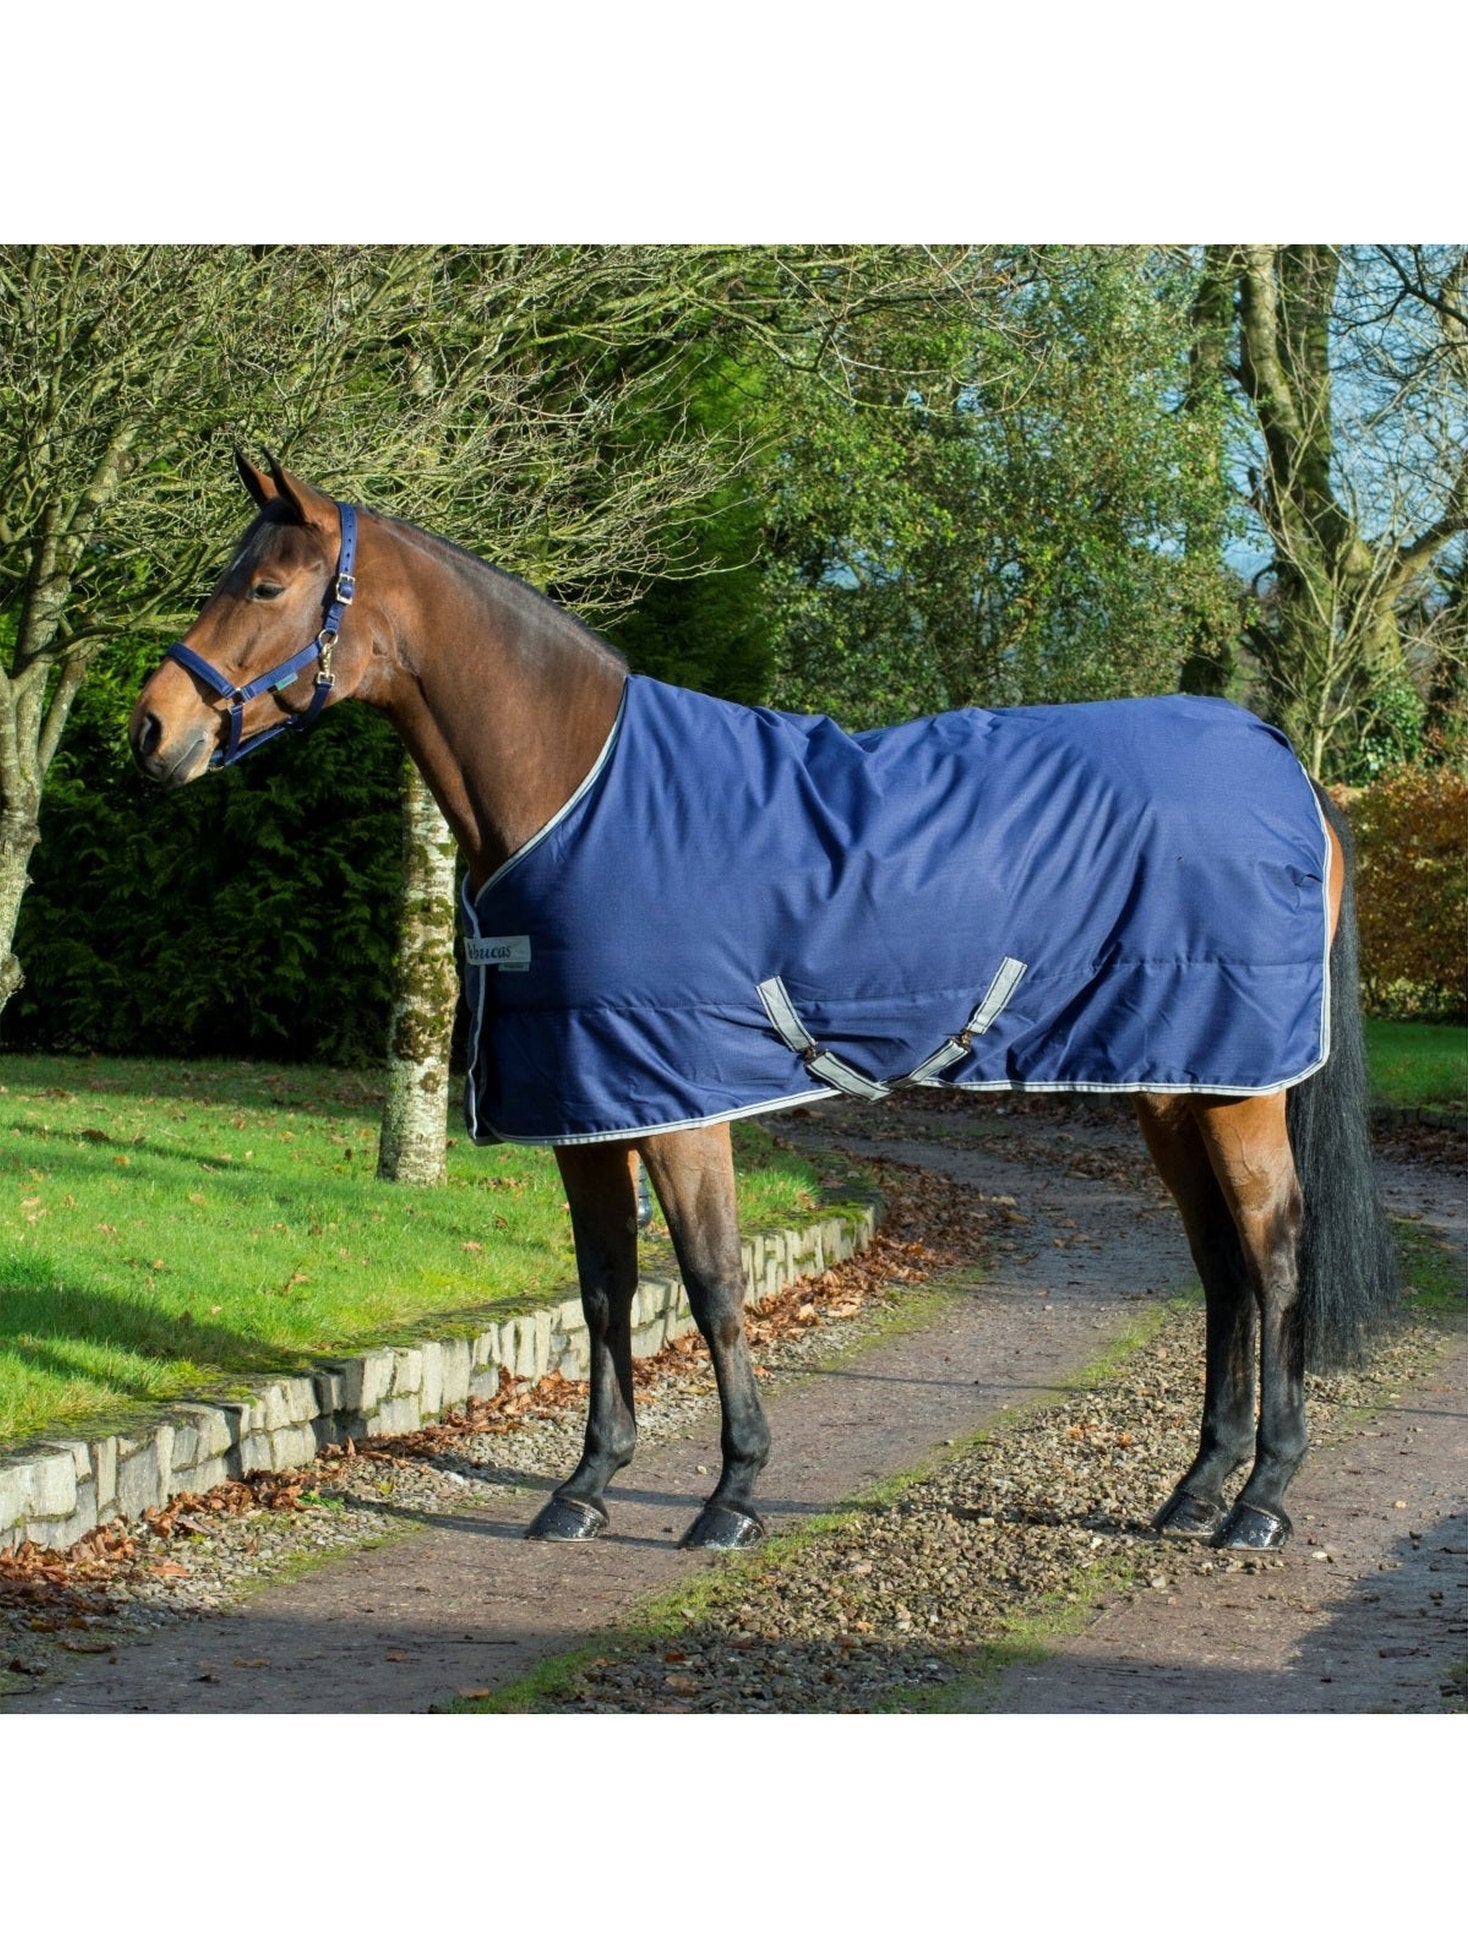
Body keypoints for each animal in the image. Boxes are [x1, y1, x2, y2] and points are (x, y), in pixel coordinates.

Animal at [128, 456, 1397, 1556]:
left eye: (266, 585)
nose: (151, 730)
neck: (576, 787)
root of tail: (1284, 759)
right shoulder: (588, 1109)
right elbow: (603, 1293)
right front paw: (585, 1486)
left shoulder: (680, 1102)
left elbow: (711, 1286)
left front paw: (731, 1493)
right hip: (1174, 1083)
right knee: (1220, 1265)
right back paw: (1194, 1489)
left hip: (1232, 1091)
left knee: (1273, 1257)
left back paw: (1260, 1498)